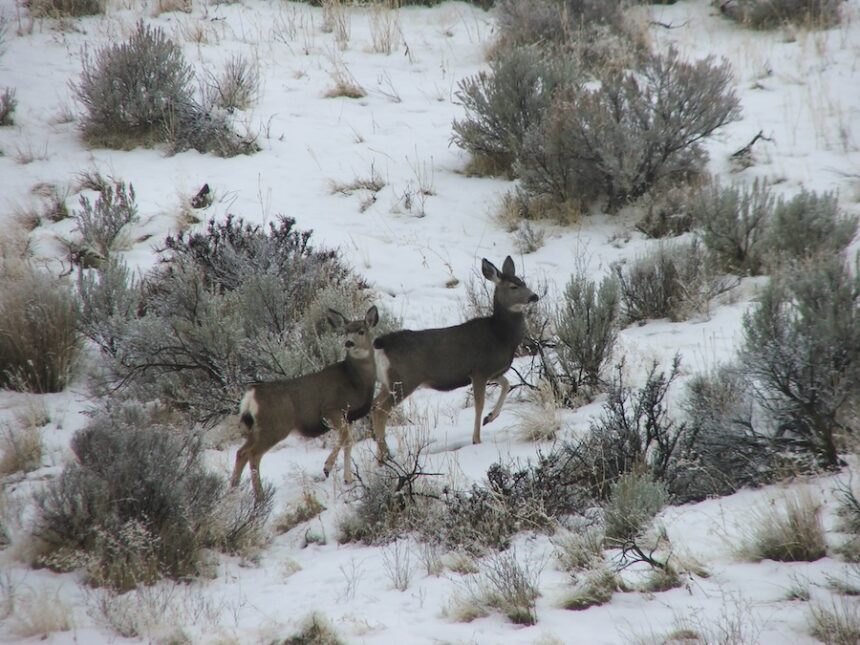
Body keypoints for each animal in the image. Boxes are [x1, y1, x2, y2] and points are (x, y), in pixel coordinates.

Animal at [231, 306, 379, 500]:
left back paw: (232, 491)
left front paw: (348, 479)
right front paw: (327, 467)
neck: (355, 381)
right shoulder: (331, 409)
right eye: (345, 331)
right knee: (253, 454)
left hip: (255, 429)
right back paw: (260, 496)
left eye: (361, 331)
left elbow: (349, 442)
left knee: (241, 452)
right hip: (275, 426)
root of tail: (251, 396)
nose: (349, 343)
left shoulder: (350, 417)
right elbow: (345, 437)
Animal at [371, 256, 538, 461]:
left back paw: (382, 453)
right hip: (405, 379)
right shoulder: (479, 371)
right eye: (513, 286)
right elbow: (479, 404)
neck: (500, 335)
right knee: (381, 410)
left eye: (523, 282)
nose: (534, 296)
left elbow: (506, 384)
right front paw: (477, 439)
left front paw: (489, 418)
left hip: (388, 382)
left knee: (374, 405)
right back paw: (385, 455)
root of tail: (382, 343)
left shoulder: (493, 372)